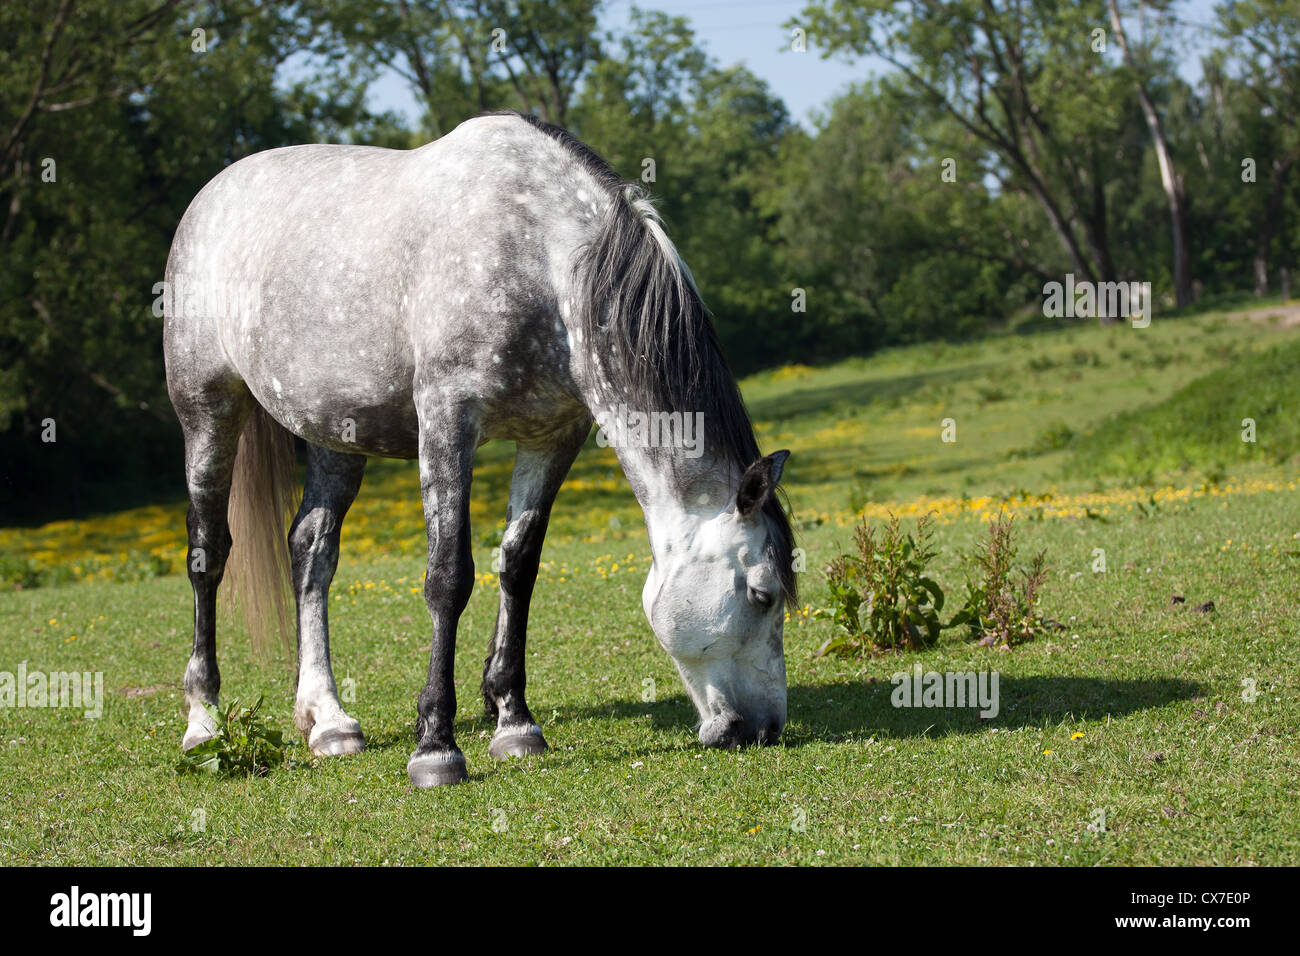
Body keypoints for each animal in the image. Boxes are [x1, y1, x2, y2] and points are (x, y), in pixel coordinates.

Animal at [162, 110, 797, 787]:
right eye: (761, 594)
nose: (764, 729)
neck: (543, 260)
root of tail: (211, 197)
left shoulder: (553, 436)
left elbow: (518, 566)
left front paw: (514, 721)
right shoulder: (448, 419)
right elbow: (449, 578)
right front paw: (436, 748)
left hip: (334, 434)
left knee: (311, 550)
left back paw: (328, 720)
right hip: (207, 411)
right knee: (208, 554)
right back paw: (203, 721)